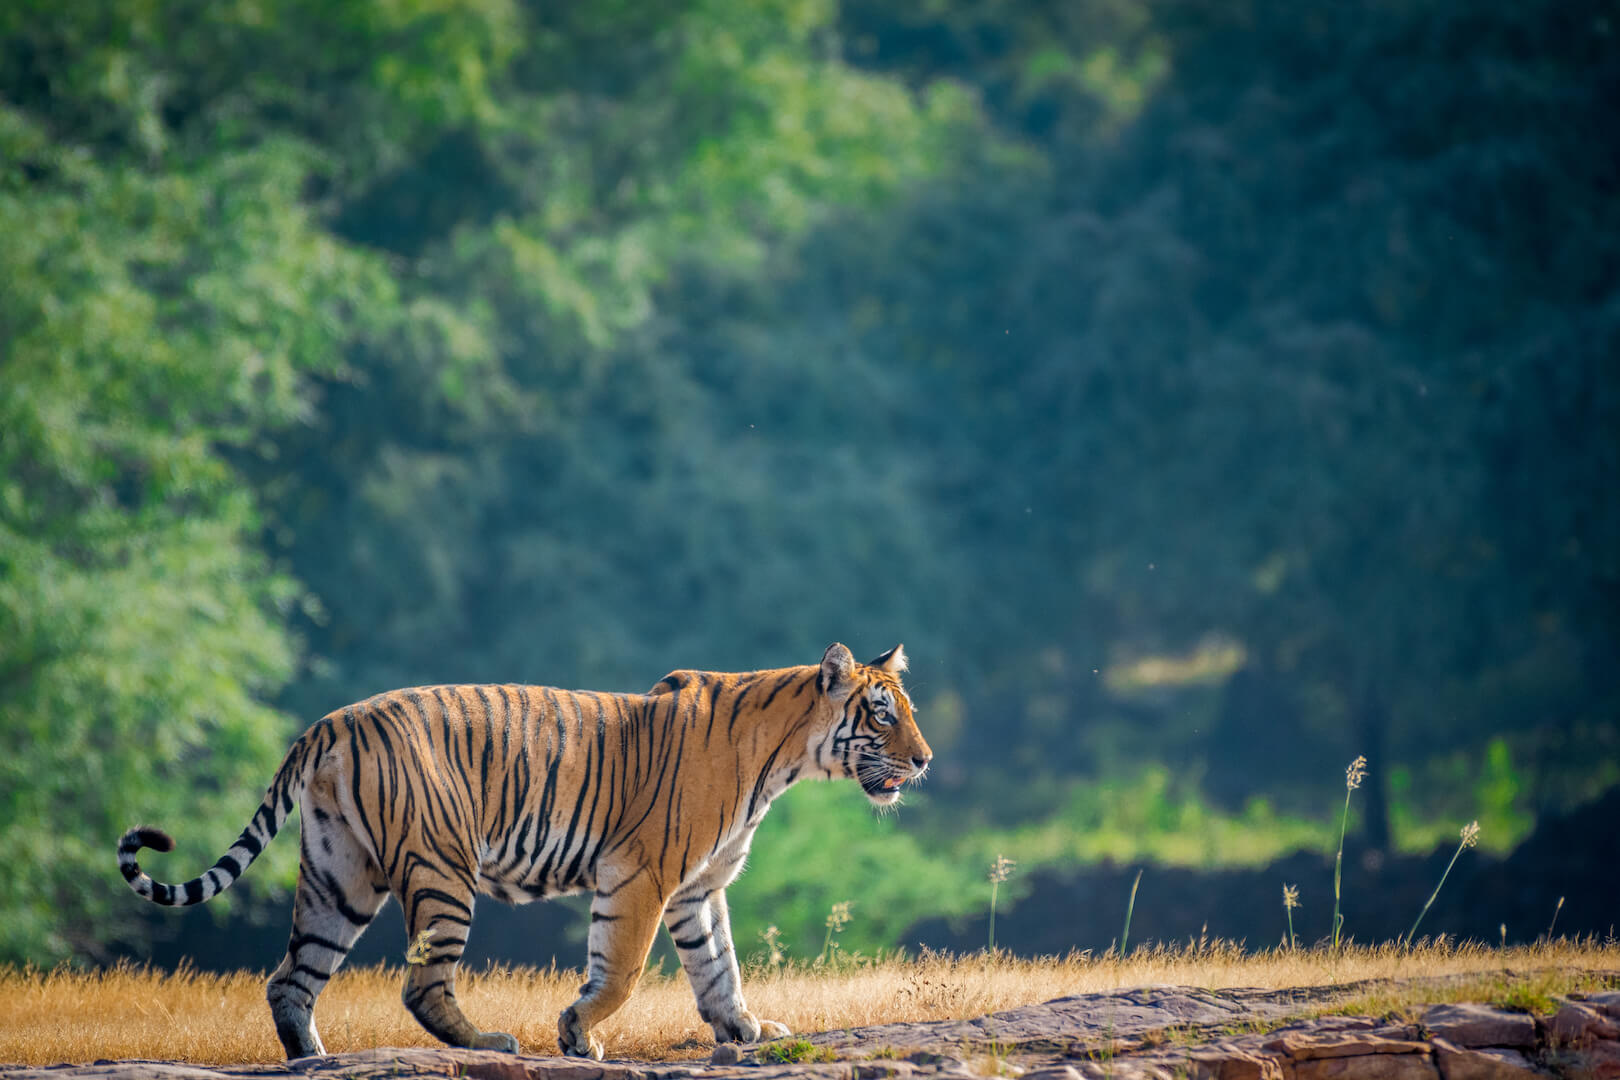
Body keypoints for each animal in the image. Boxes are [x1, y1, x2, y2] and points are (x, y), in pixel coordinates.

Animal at [117, 642, 931, 1060]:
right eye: (881, 715)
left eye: (906, 712)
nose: (924, 761)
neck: (786, 758)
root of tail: (330, 722)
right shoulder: (641, 875)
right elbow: (622, 970)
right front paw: (577, 1034)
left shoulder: (699, 888)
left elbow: (718, 965)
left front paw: (745, 1030)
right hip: (442, 870)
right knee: (421, 983)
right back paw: (489, 1044)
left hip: (339, 876)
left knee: (291, 977)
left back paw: (315, 1060)